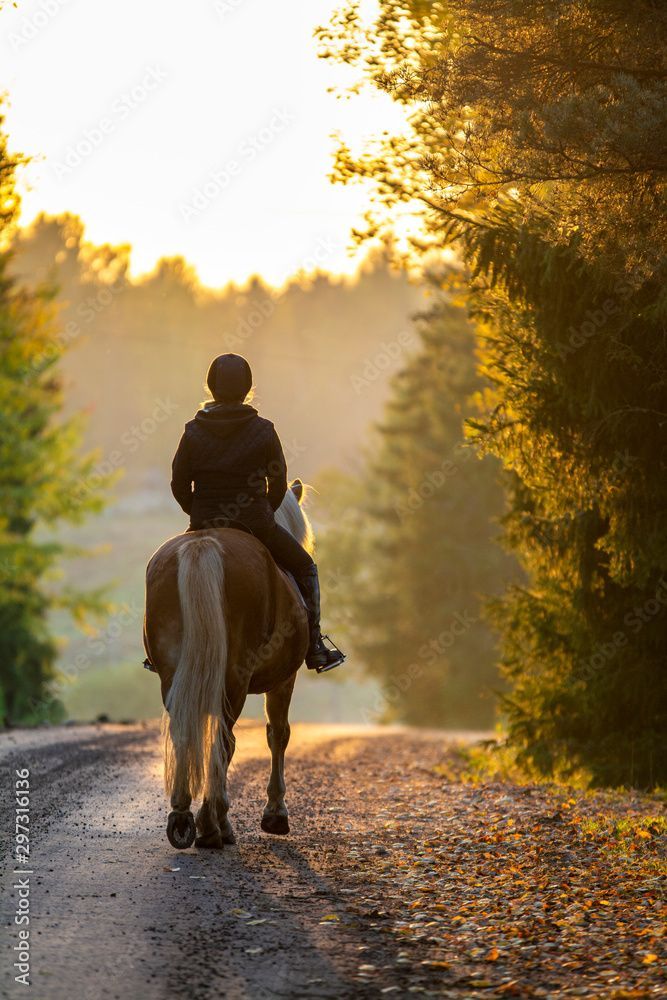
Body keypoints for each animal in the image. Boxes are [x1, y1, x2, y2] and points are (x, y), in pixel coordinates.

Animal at [143, 480, 314, 848]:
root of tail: (204, 546)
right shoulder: (285, 679)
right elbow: (278, 733)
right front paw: (275, 814)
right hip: (235, 677)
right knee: (224, 739)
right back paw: (213, 822)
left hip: (173, 674)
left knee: (185, 730)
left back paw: (182, 815)